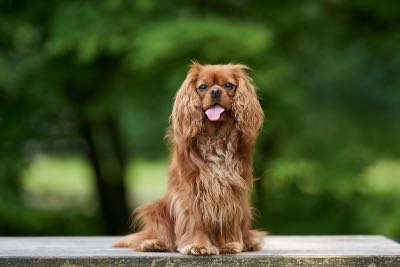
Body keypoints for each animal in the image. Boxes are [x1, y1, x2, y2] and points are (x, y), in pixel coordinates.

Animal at [114, 62, 266, 255]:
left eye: (228, 85)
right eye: (202, 87)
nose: (215, 91)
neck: (215, 137)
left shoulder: (232, 189)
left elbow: (228, 217)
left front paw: (229, 244)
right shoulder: (191, 189)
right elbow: (196, 219)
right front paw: (199, 245)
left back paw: (248, 242)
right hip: (156, 209)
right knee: (162, 236)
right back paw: (155, 243)